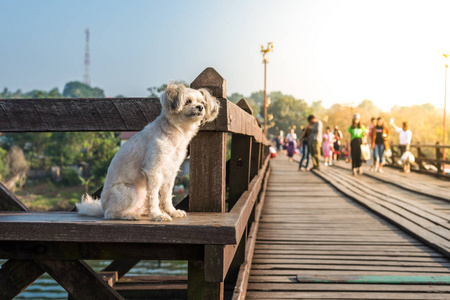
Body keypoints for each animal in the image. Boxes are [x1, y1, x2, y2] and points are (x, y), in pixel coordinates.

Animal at [77, 82, 220, 220]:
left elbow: (167, 196)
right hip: (131, 192)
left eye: (202, 103)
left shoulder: (170, 172)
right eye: (188, 101)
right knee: (110, 214)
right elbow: (154, 197)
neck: (176, 133)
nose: (200, 107)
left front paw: (171, 212)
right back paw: (130, 215)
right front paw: (158, 215)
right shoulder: (153, 172)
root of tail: (102, 206)